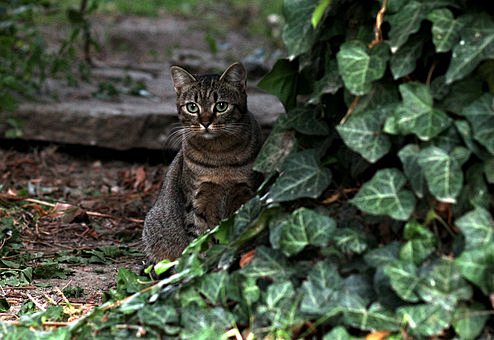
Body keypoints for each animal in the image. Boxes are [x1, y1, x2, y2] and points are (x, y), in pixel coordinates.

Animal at [142, 62, 262, 262]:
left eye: (221, 106)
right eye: (192, 107)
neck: (220, 154)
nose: (205, 122)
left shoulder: (245, 193)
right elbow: (201, 237)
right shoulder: (197, 200)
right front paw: (203, 261)